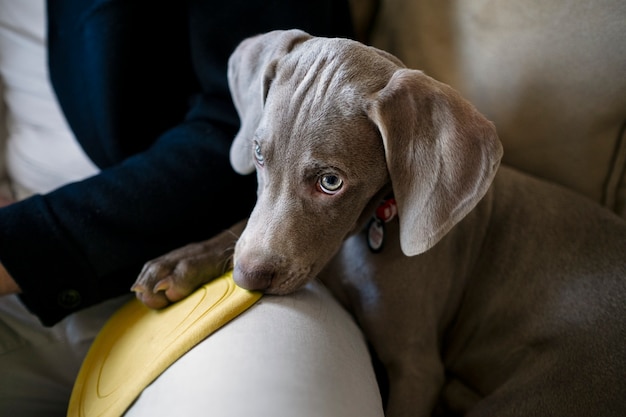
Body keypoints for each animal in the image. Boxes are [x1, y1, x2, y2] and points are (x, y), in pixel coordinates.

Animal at [134, 30, 624, 416]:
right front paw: (178, 264)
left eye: (331, 181)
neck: (365, 231)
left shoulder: (418, 369)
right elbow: (238, 227)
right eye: (257, 153)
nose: (248, 277)